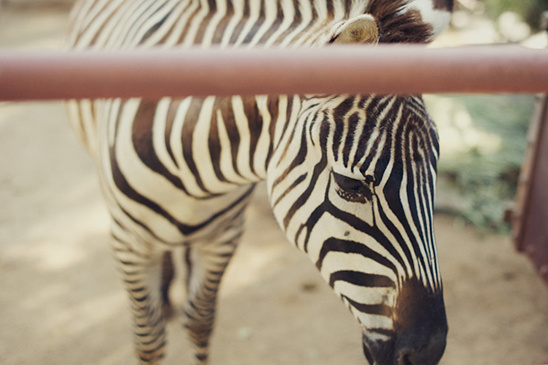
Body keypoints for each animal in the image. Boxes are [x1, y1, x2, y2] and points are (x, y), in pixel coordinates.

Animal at [66, 0, 452, 362]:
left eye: (435, 169)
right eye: (351, 185)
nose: (428, 352)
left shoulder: (226, 235)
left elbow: (200, 321)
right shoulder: (127, 243)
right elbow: (149, 341)